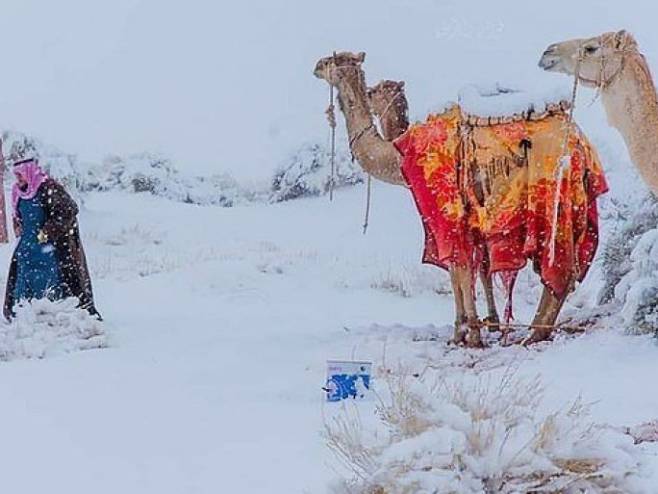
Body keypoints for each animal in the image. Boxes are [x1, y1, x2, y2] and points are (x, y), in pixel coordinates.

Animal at [312, 51, 604, 344]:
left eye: (329, 62)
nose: (315, 67)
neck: (398, 155)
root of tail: (580, 144)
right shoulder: (473, 220)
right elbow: (475, 269)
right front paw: (484, 325)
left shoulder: (446, 212)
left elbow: (458, 270)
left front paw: (467, 333)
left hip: (553, 196)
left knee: (560, 270)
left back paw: (533, 334)